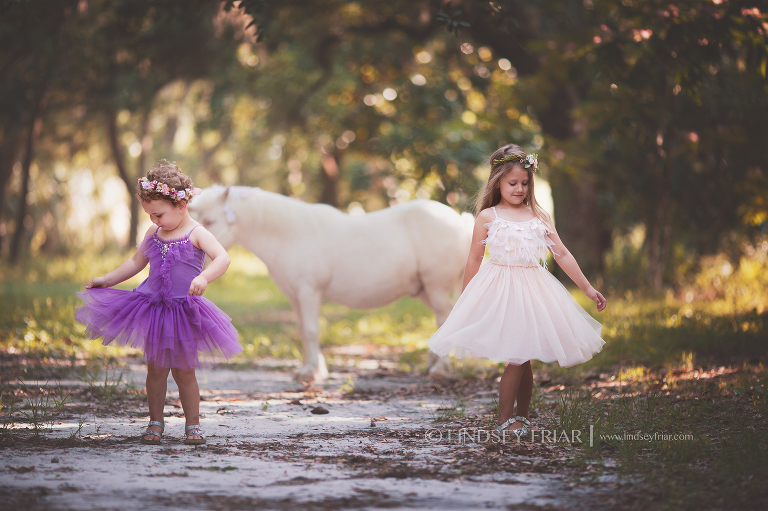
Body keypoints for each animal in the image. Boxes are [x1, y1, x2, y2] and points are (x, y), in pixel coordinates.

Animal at [188, 186, 474, 382]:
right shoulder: (295, 296)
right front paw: (308, 369)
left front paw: (312, 374)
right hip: (424, 290)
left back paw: (440, 369)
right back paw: (432, 364)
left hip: (436, 288)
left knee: (444, 317)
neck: (289, 234)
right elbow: (302, 330)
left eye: (210, 221)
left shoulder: (309, 293)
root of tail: (459, 221)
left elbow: (311, 331)